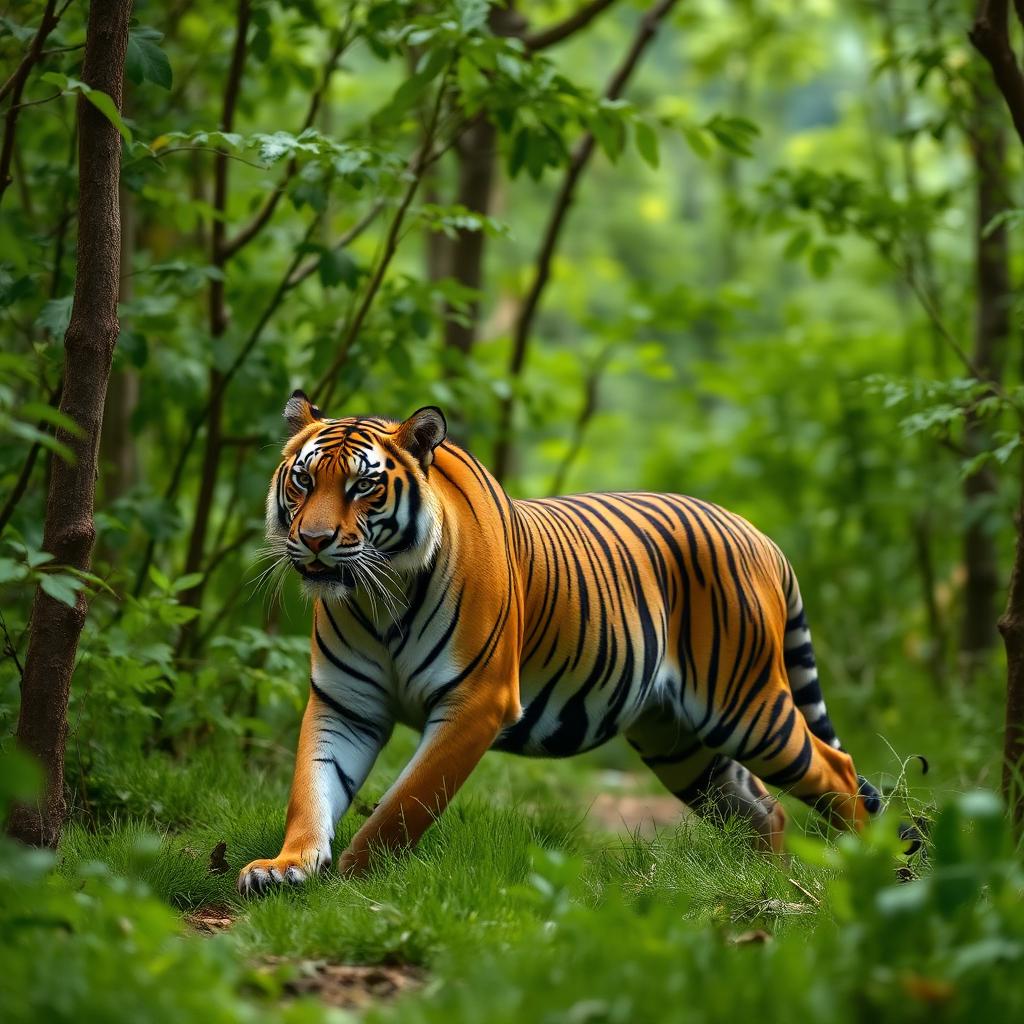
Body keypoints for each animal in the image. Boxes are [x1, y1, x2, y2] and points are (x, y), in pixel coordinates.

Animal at [238, 391, 885, 893]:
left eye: (363, 487)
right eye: (303, 481)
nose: (314, 540)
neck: (379, 600)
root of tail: (760, 536)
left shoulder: (477, 703)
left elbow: (404, 805)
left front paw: (353, 876)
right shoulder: (344, 703)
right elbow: (311, 788)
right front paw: (286, 867)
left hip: (747, 705)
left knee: (837, 768)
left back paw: (864, 875)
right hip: (679, 741)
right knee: (763, 808)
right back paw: (766, 884)